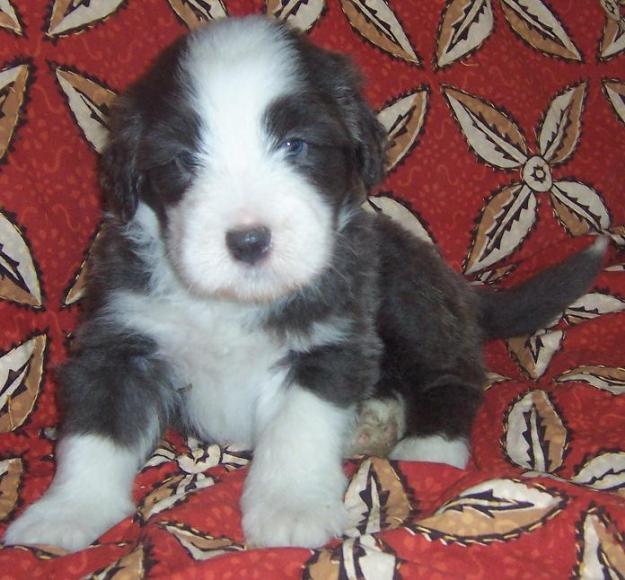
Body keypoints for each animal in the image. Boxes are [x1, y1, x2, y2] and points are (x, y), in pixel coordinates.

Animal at [2, 15, 608, 552]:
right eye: (182, 159)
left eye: (296, 145)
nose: (248, 241)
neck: (230, 306)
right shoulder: (119, 343)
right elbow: (94, 434)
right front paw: (63, 516)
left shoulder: (328, 343)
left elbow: (296, 432)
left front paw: (290, 510)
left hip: (407, 294)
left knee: (454, 374)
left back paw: (429, 448)